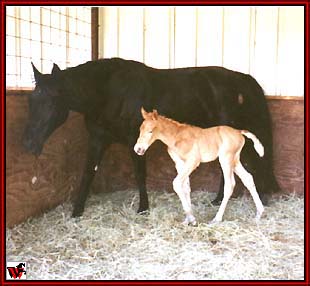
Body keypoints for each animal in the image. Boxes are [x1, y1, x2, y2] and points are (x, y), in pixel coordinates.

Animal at [133, 108, 264, 226]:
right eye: (140, 129)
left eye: (150, 131)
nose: (138, 149)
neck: (177, 137)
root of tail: (238, 131)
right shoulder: (179, 163)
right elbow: (185, 187)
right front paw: (188, 220)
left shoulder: (193, 161)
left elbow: (176, 183)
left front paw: (192, 219)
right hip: (235, 160)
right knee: (248, 178)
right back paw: (259, 214)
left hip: (226, 159)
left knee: (230, 184)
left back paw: (217, 219)